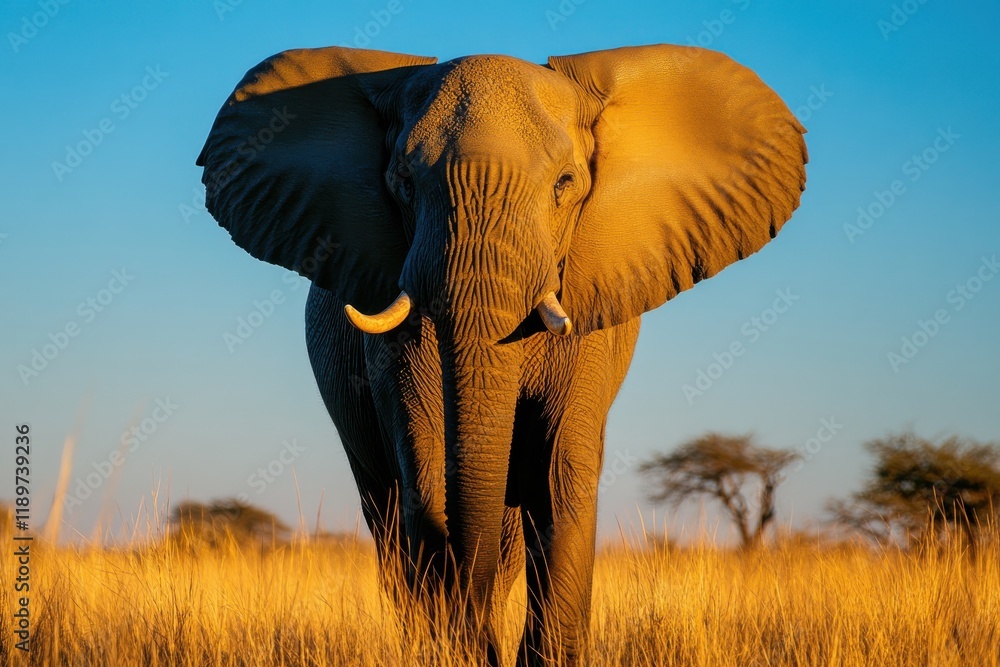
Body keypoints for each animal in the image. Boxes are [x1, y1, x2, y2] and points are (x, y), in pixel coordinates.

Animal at [197, 44, 806, 666]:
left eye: (565, 183)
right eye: (403, 183)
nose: (477, 640)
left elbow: (559, 473)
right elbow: (427, 475)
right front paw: (457, 646)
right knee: (388, 517)